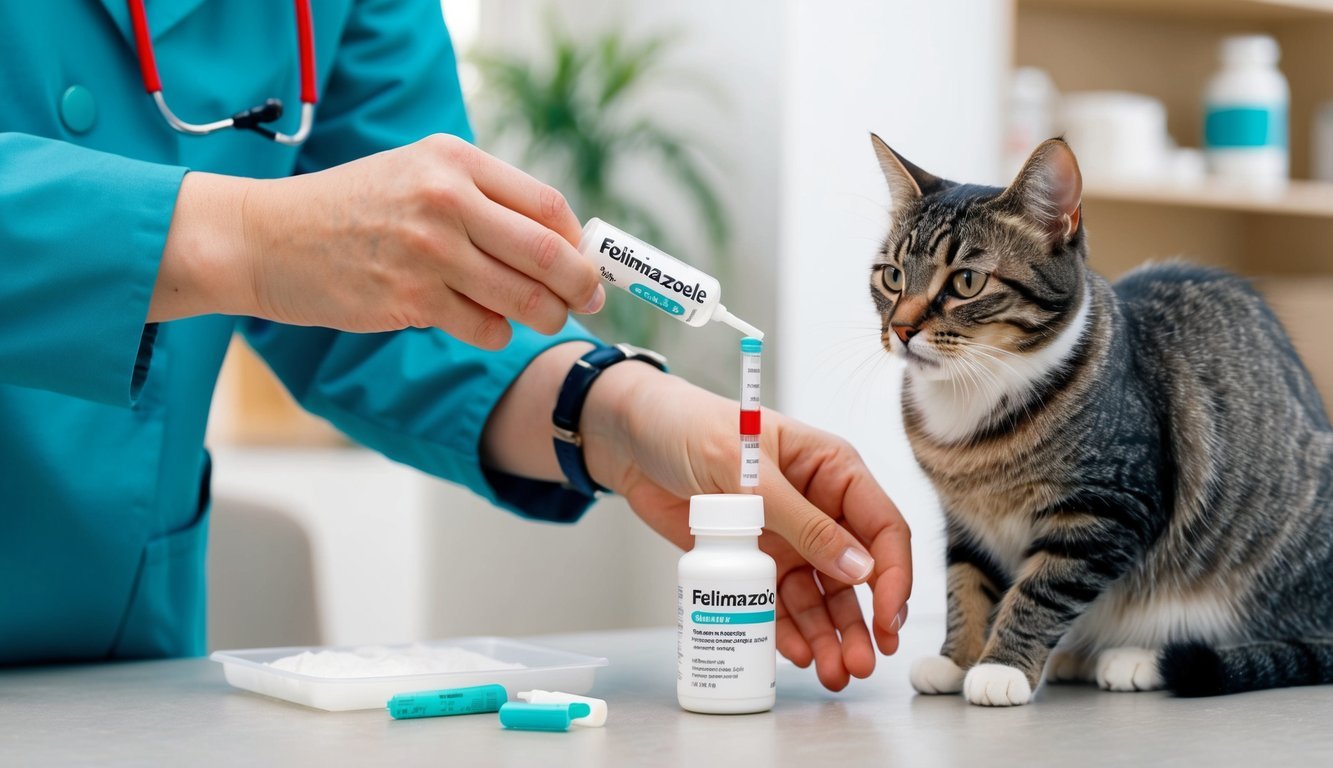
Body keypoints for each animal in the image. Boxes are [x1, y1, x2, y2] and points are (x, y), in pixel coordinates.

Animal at [869, 134, 1333, 704]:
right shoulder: (966, 519)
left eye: (967, 282)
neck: (972, 396)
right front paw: (955, 659)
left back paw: (1137, 659)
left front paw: (1000, 667)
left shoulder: (1108, 508)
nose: (901, 328)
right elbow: (967, 584)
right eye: (892, 276)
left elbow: (1041, 590)